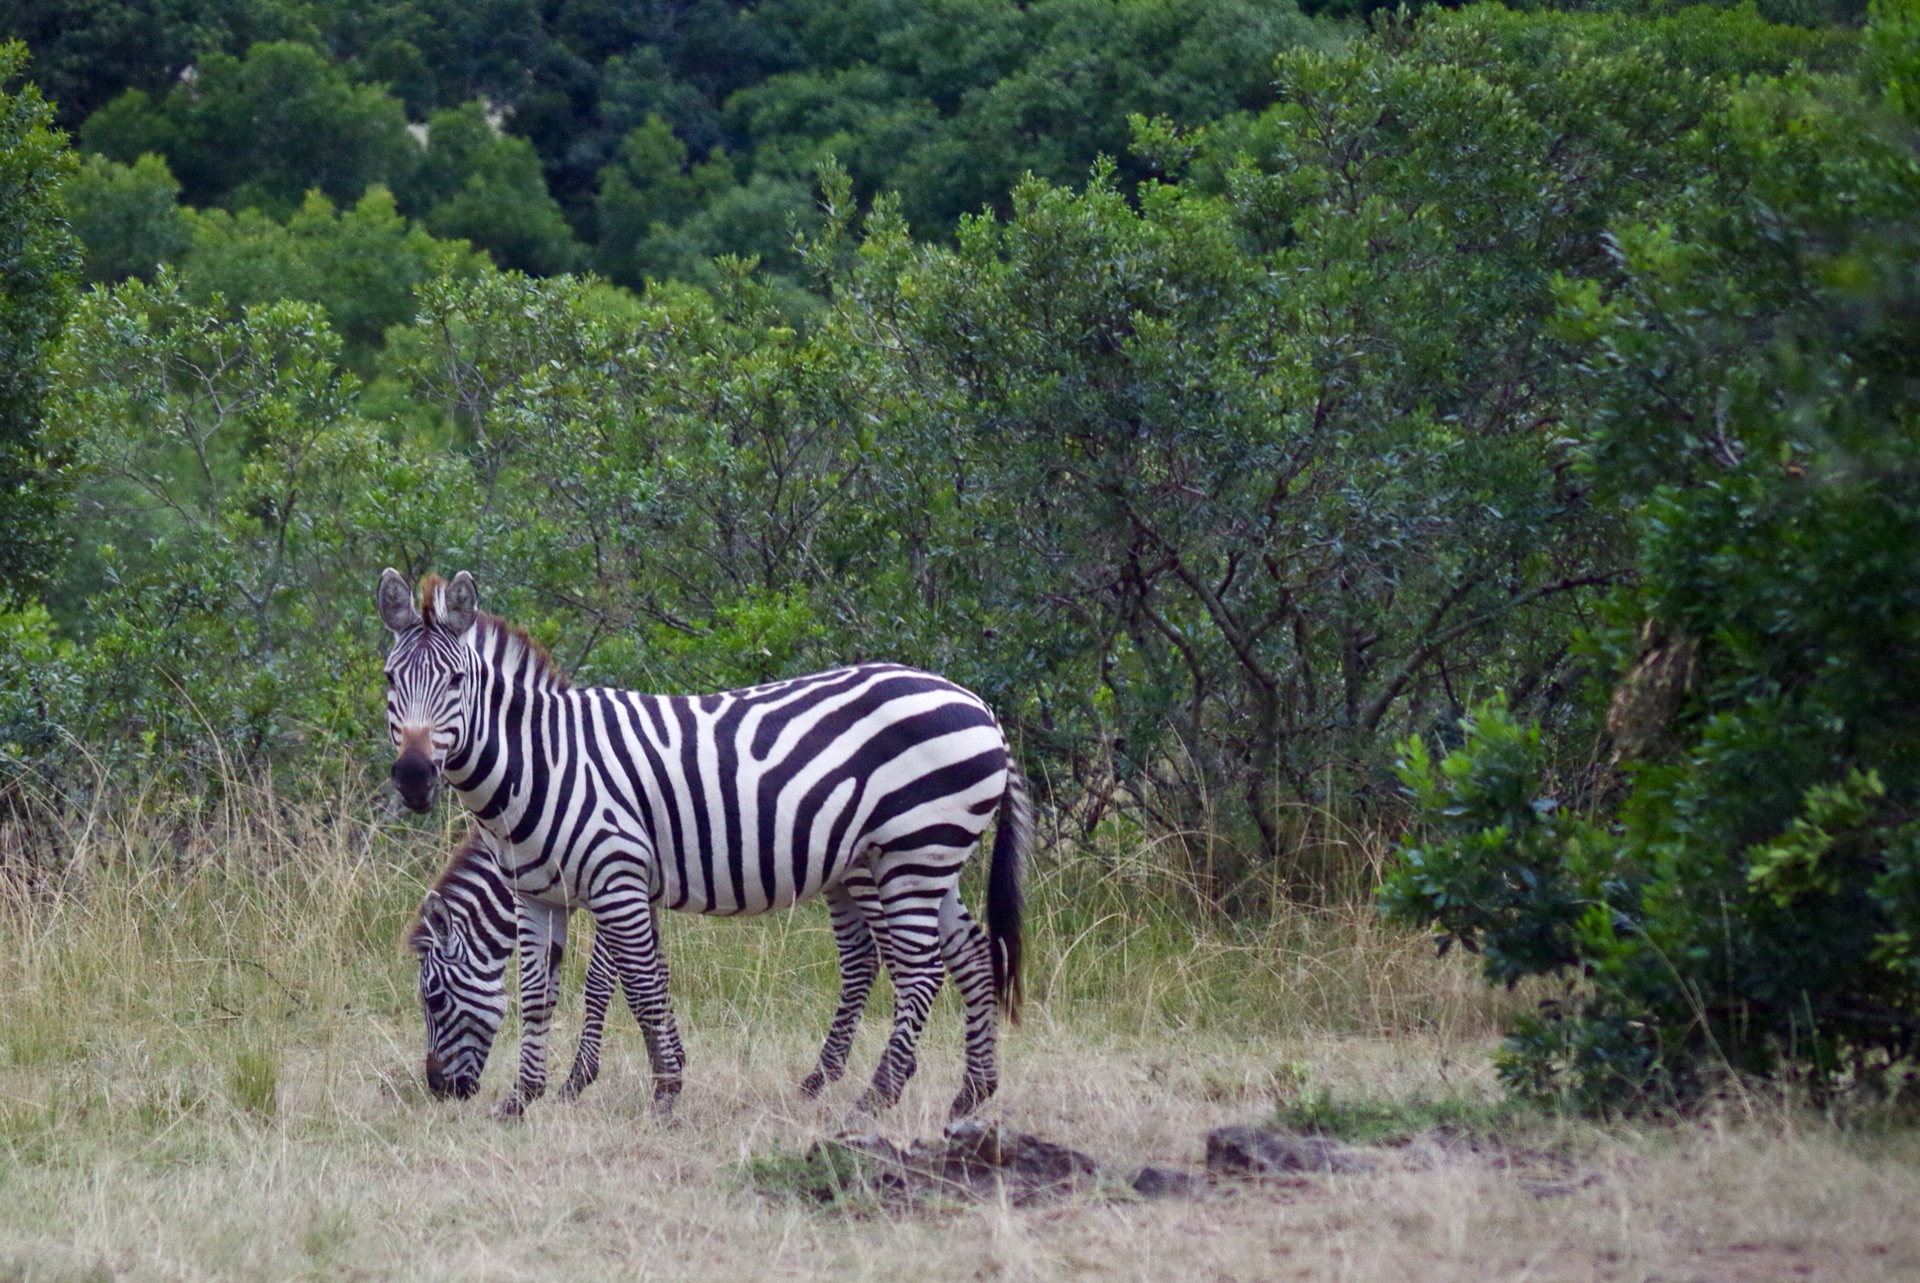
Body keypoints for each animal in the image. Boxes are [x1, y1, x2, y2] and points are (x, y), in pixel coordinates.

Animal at [380, 564, 1029, 1113]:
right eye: (389, 680)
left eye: (434, 998)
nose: (411, 777)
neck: (546, 761)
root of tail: (978, 704)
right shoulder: (544, 894)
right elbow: (549, 993)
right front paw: (524, 1100)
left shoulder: (617, 877)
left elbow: (629, 983)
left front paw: (653, 1091)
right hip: (929, 857)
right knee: (970, 953)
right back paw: (972, 1092)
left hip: (910, 854)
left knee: (920, 968)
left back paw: (877, 1097)